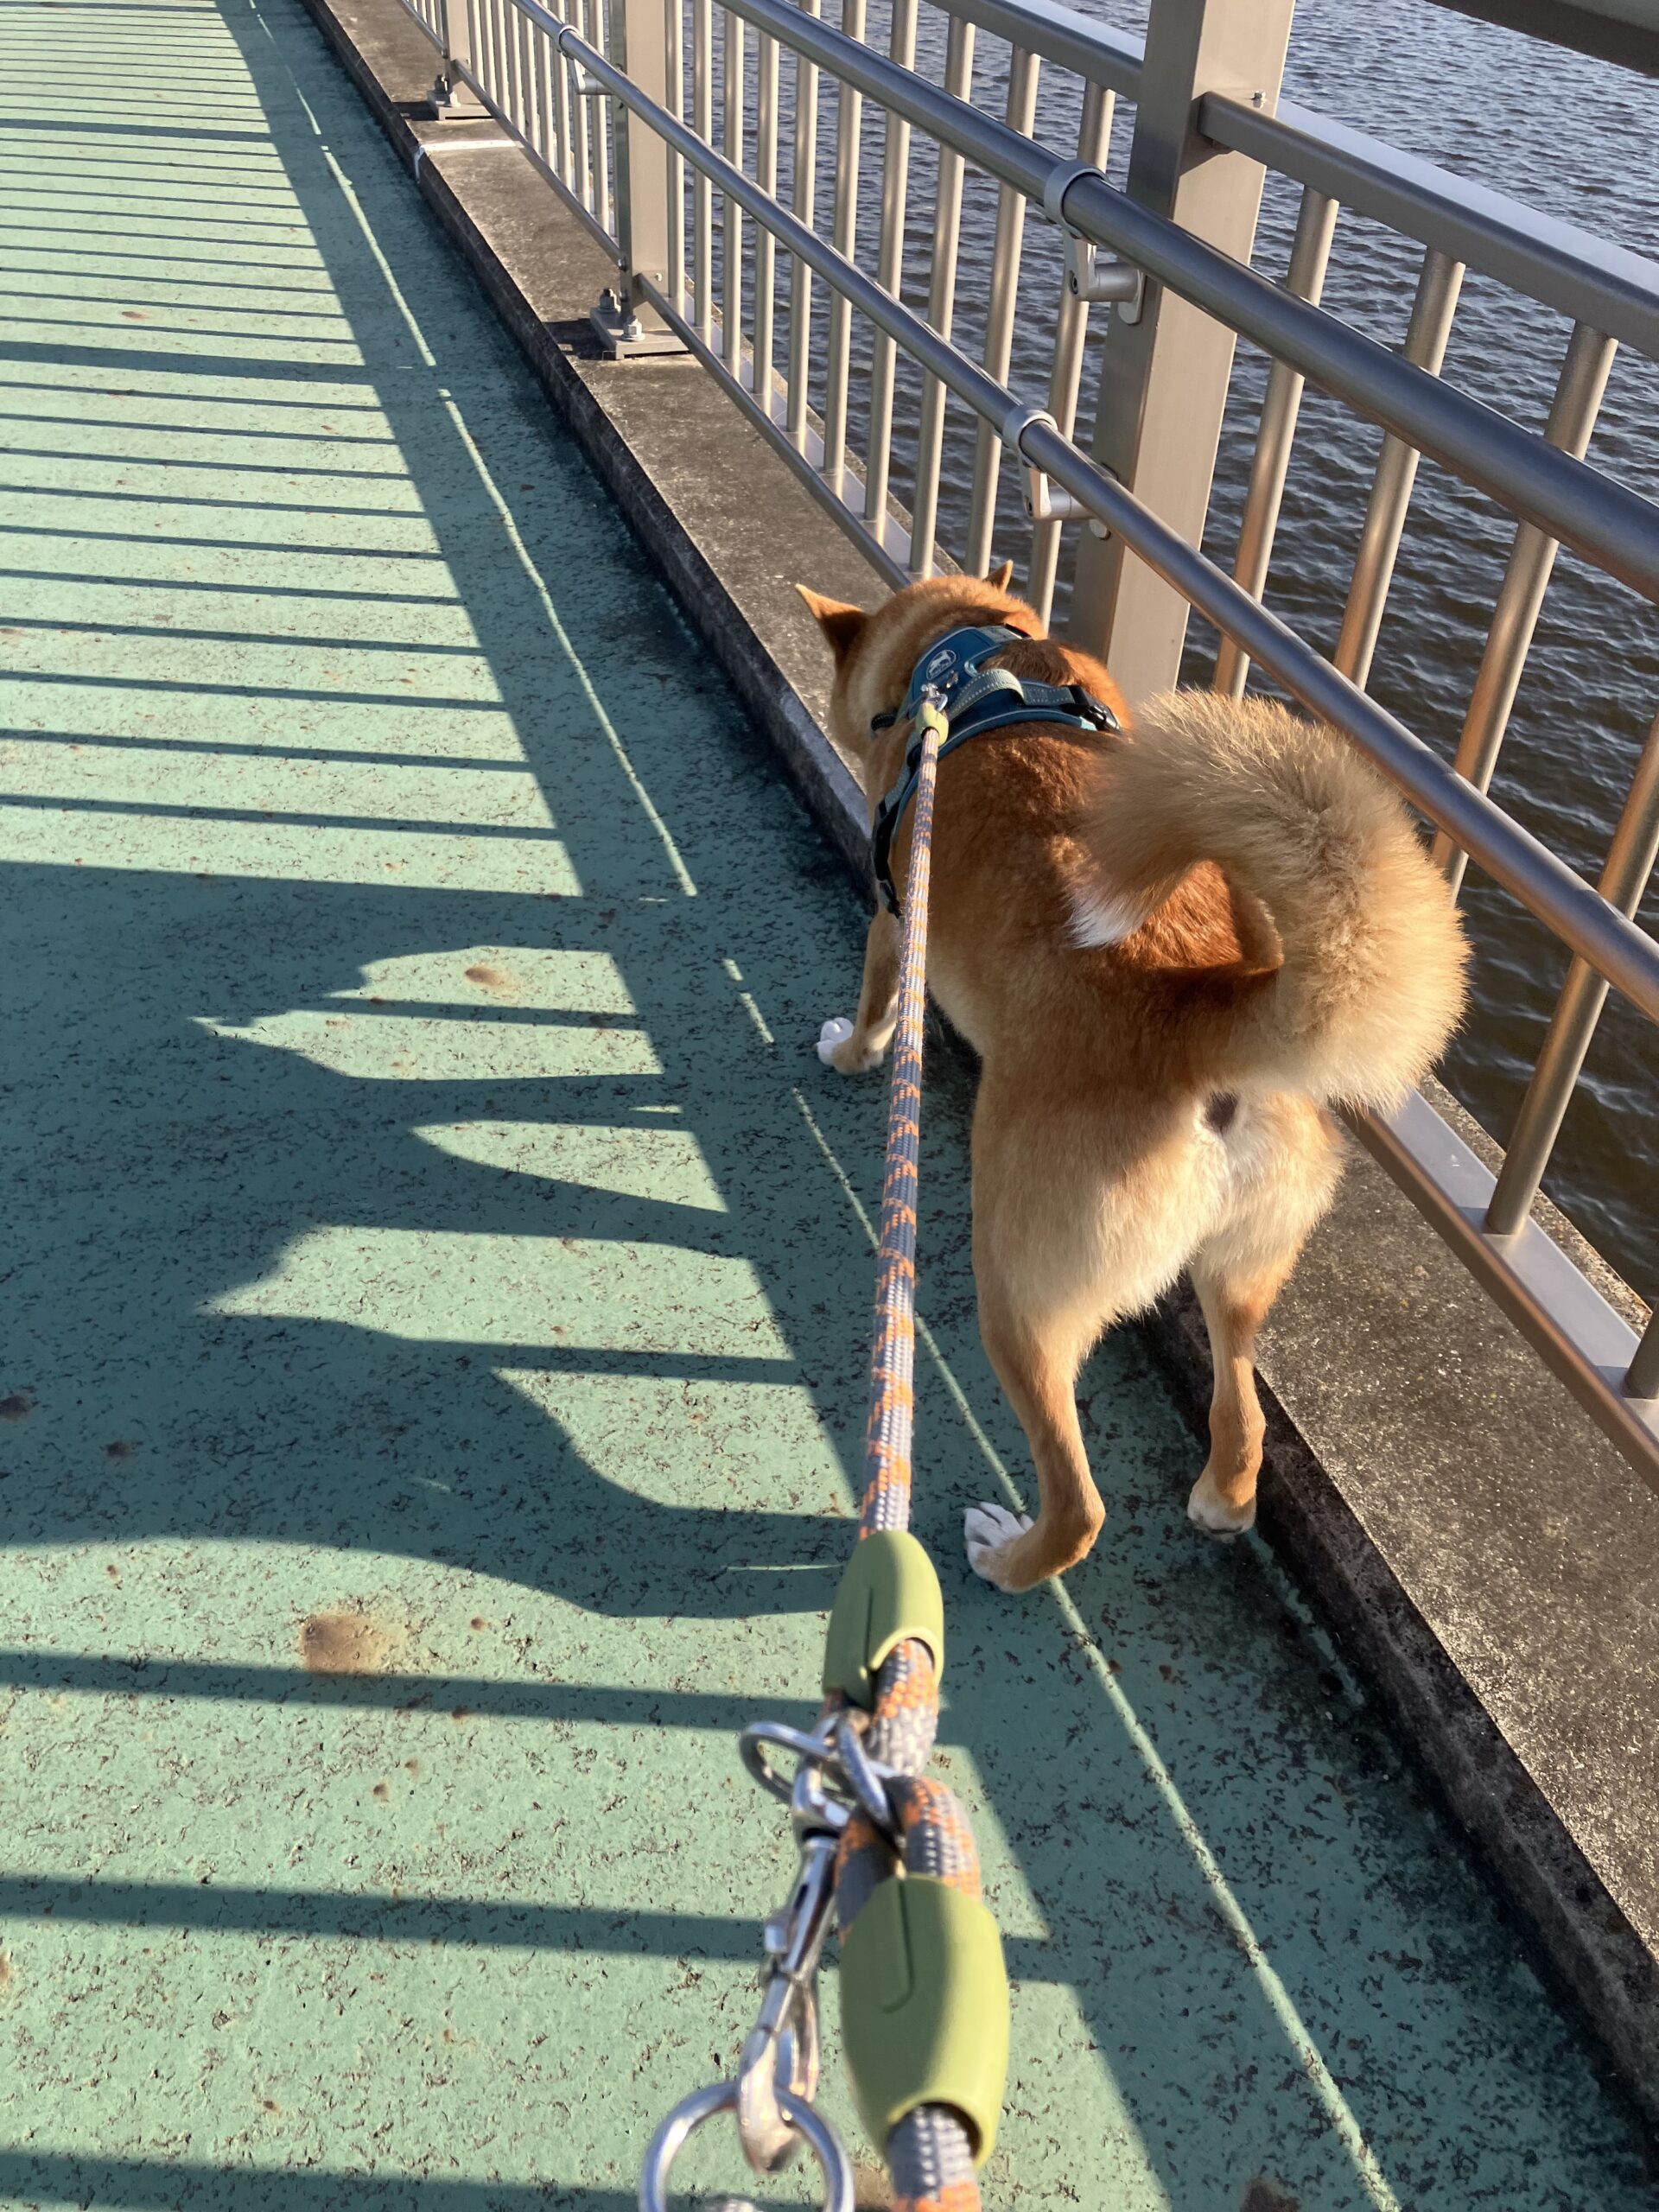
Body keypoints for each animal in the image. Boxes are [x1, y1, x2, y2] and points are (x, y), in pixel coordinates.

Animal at [798, 566, 1467, 1592]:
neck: (969, 654)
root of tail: (1198, 1012)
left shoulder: (892, 911)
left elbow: (877, 1007)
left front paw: (847, 1051)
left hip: (1022, 1292)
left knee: (1080, 1501)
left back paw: (1010, 1555)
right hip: (1245, 1265)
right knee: (1242, 1415)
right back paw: (1223, 1502)